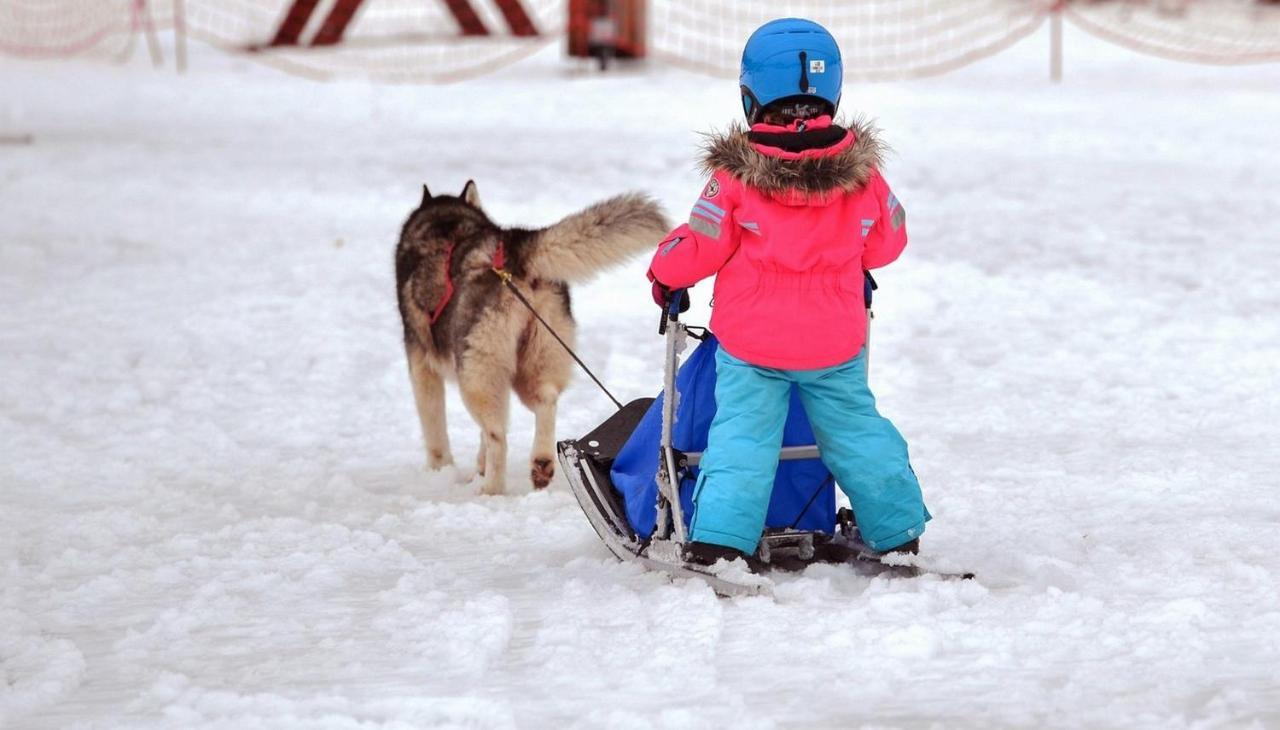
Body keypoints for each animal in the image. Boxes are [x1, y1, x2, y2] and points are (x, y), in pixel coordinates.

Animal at [394, 179, 665, 491]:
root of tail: (512, 250)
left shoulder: (421, 364)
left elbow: (435, 427)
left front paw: (440, 470)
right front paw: (477, 466)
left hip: (478, 372)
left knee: (497, 434)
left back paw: (491, 490)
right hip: (538, 355)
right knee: (546, 399)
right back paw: (541, 463)